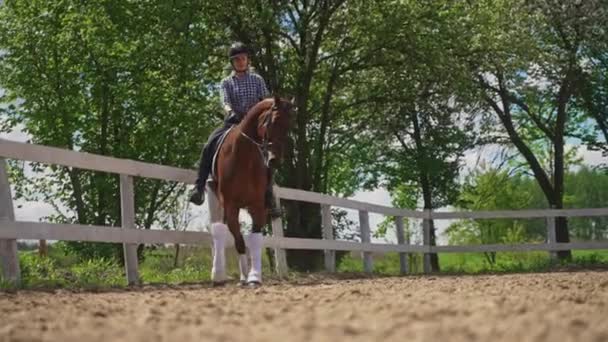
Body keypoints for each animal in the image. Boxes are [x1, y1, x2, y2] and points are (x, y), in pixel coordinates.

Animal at [209, 95, 294, 288]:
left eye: (289, 126)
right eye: (273, 121)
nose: (274, 160)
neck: (244, 157)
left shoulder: (257, 206)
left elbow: (254, 239)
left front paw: (254, 277)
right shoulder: (231, 206)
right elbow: (239, 241)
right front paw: (243, 277)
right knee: (218, 231)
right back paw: (219, 274)